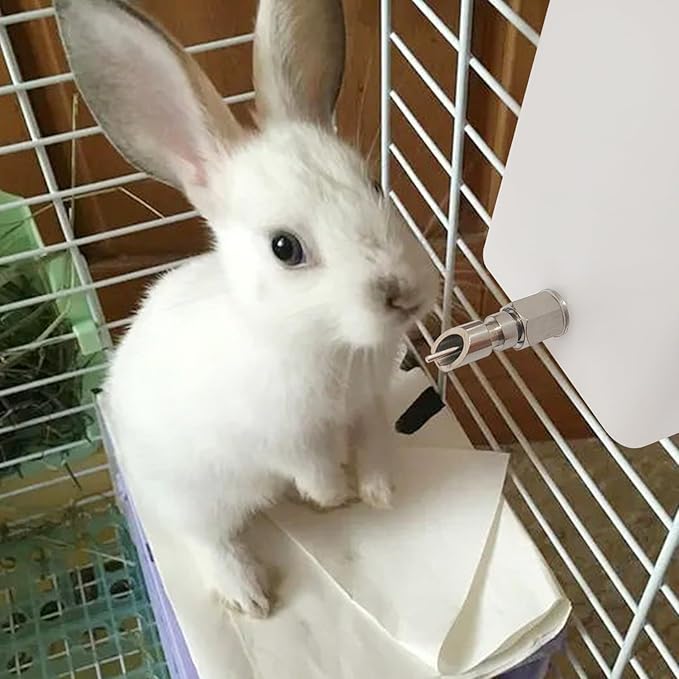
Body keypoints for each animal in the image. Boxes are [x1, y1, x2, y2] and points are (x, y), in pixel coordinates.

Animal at [55, 0, 438, 618]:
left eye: (377, 186)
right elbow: (308, 463)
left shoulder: (369, 405)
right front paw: (336, 491)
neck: (323, 341)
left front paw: (377, 492)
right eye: (285, 248)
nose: (403, 293)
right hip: (192, 497)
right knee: (206, 540)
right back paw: (250, 596)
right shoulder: (281, 439)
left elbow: (376, 440)